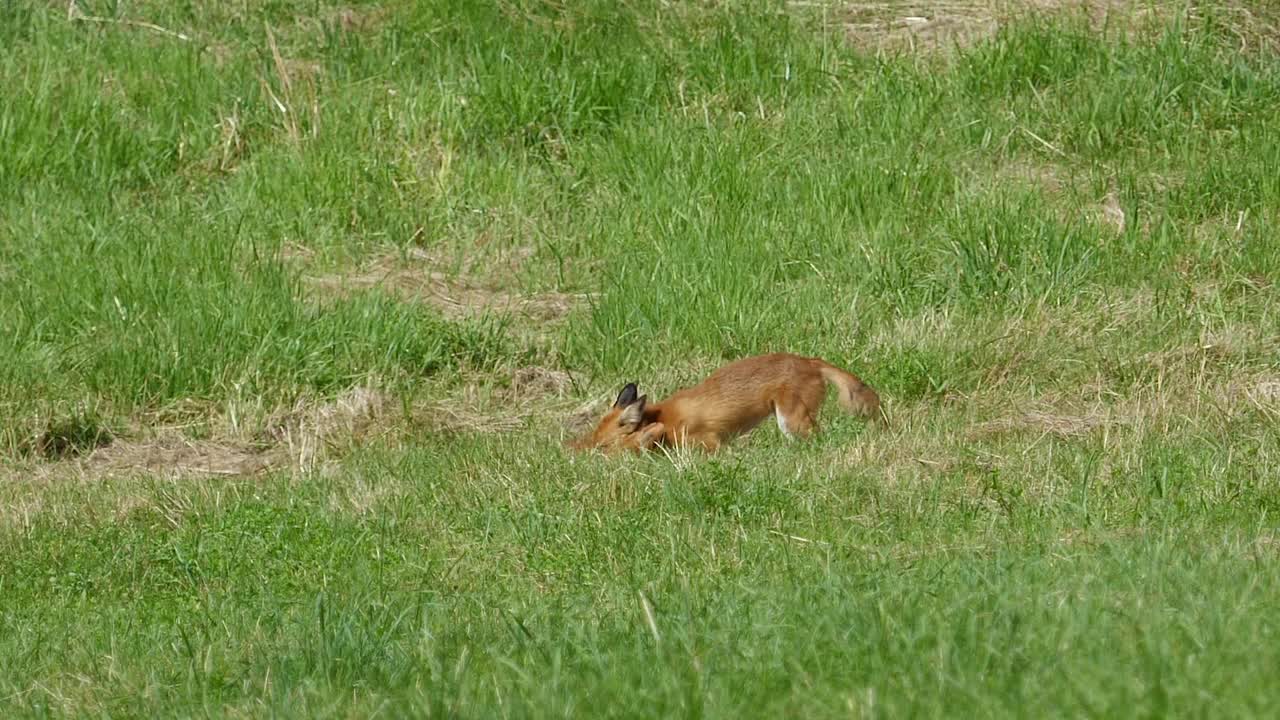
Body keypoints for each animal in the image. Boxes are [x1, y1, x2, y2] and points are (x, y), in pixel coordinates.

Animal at [570, 351, 880, 450]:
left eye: (603, 446)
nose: (577, 451)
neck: (662, 418)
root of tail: (810, 361)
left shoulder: (707, 441)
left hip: (792, 422)